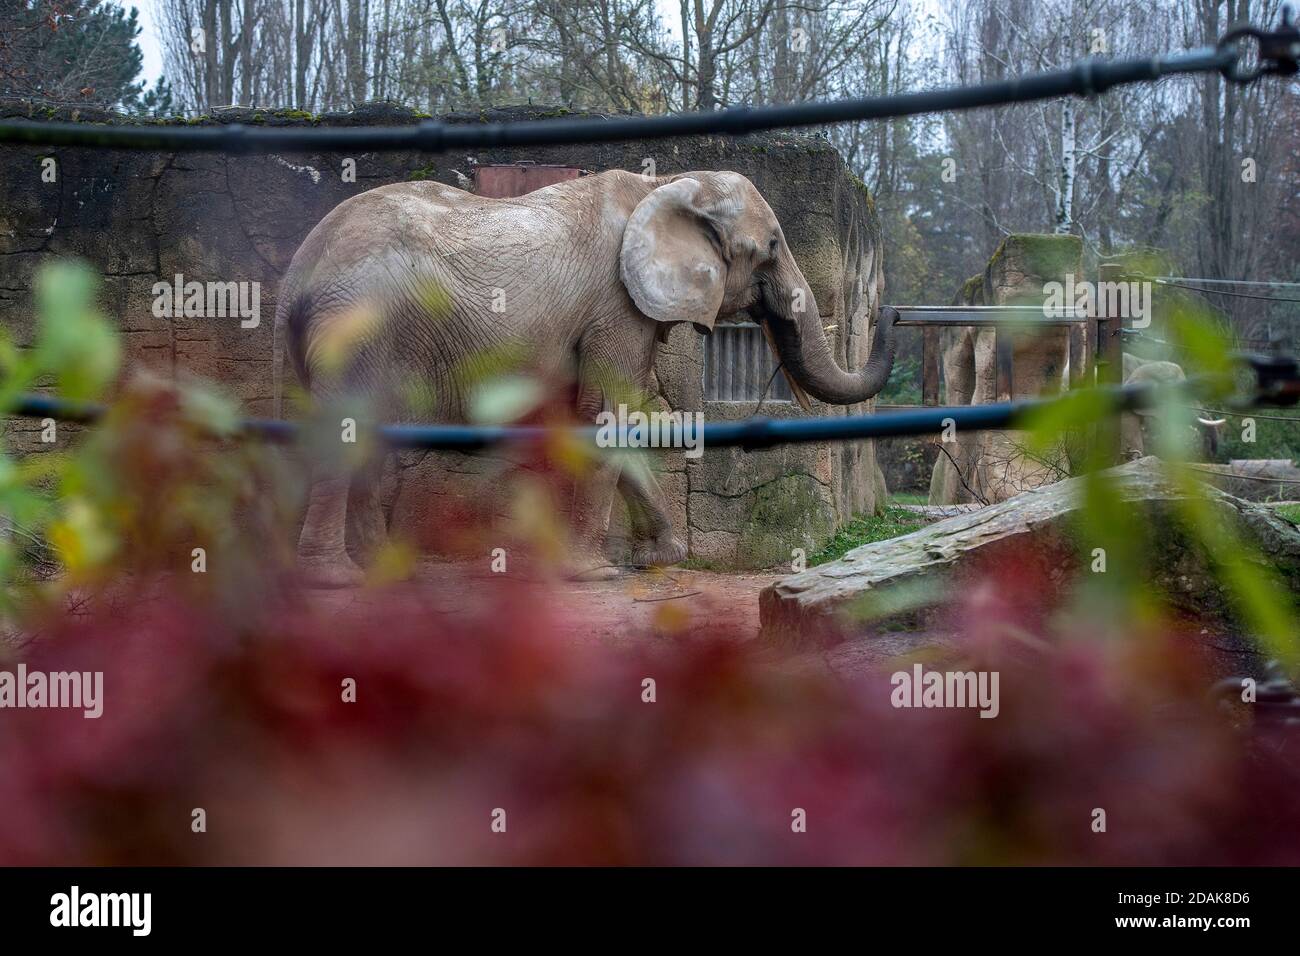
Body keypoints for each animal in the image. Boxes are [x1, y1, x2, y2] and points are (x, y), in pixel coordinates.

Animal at [279, 169, 899, 587]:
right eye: (770, 246)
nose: (891, 313)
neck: (665, 185)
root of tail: (299, 270)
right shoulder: (616, 306)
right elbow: (608, 414)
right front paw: (598, 573)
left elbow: (604, 420)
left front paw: (663, 558)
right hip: (356, 321)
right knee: (347, 433)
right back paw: (336, 578)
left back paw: (382, 570)